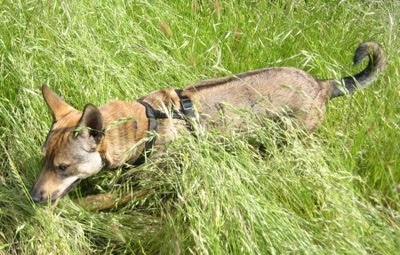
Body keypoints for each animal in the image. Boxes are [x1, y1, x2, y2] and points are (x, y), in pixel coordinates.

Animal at [29, 41, 386, 203]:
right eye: (43, 161)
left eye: (63, 167)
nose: (32, 197)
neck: (145, 125)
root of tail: (323, 84)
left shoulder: (153, 186)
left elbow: (101, 200)